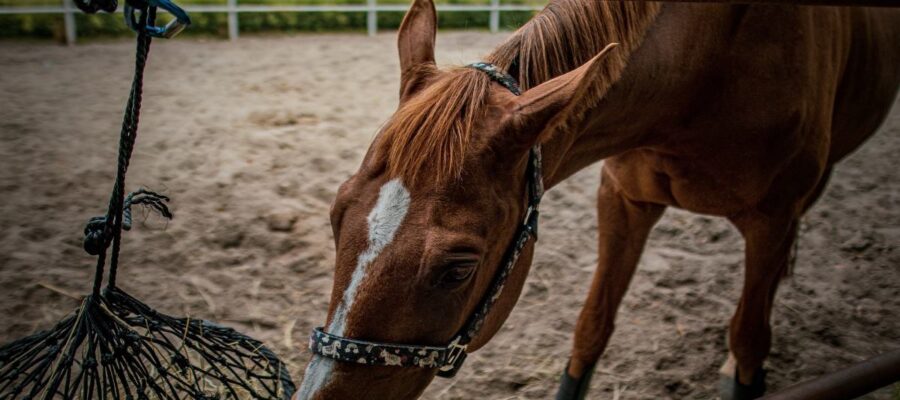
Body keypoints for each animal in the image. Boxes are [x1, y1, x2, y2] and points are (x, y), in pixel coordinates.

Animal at [294, 0, 900, 398]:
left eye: (457, 269)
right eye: (336, 216)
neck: (709, 66)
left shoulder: (772, 218)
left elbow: (750, 339)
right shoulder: (622, 202)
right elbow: (590, 331)